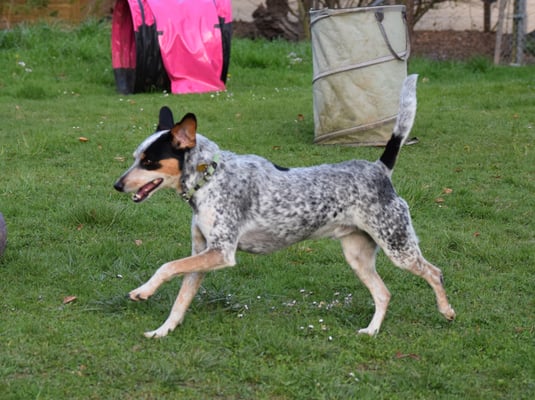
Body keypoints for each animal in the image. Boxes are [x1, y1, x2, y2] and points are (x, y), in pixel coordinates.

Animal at [114, 74, 455, 338]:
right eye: (134, 157)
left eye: (149, 162)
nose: (117, 185)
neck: (210, 177)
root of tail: (379, 169)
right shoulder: (202, 254)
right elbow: (180, 301)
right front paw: (163, 330)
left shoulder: (220, 253)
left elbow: (167, 266)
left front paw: (143, 291)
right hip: (357, 256)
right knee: (384, 293)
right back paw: (371, 331)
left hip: (399, 249)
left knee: (435, 273)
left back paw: (446, 310)